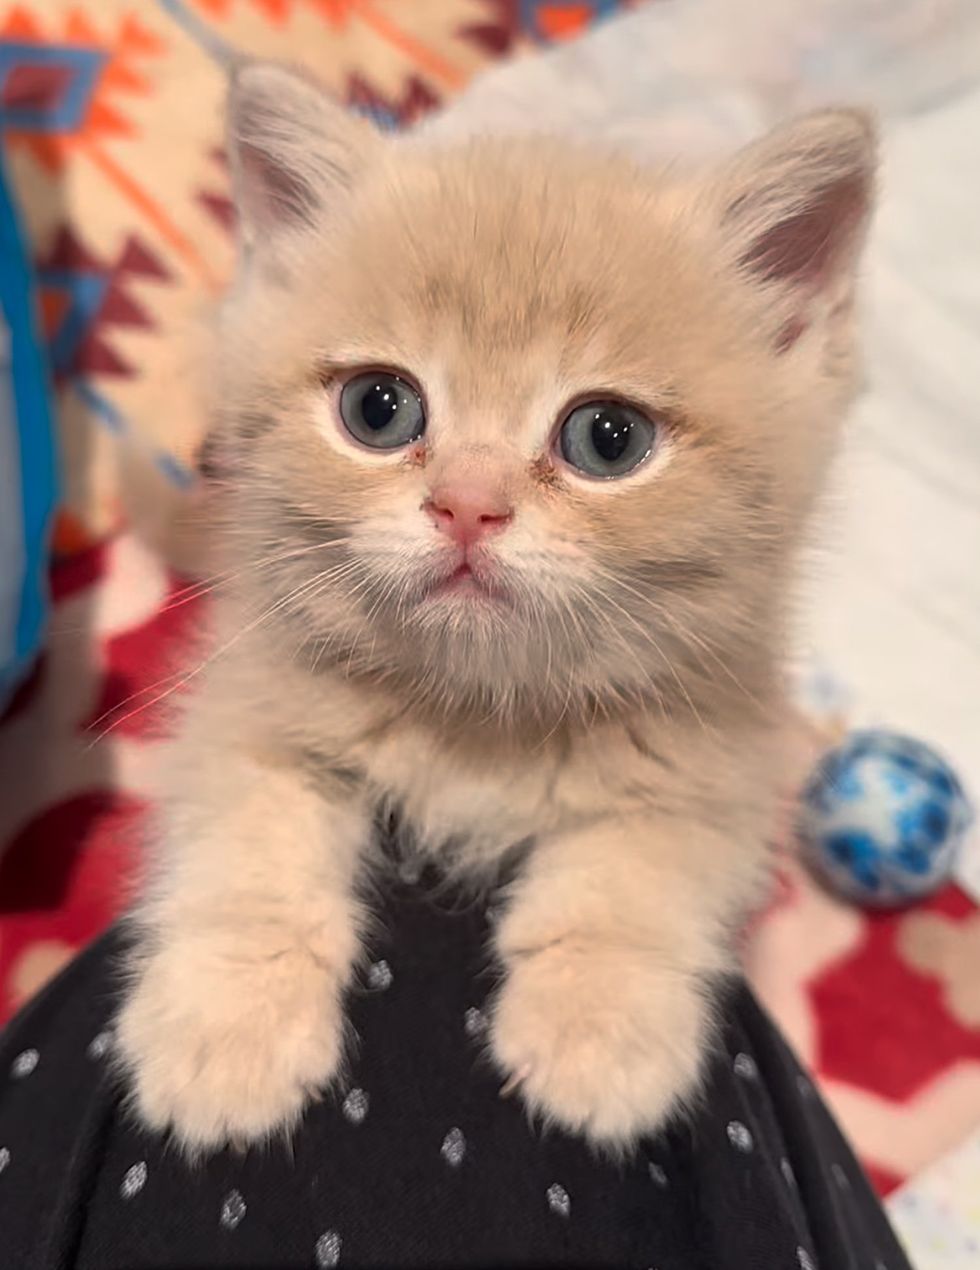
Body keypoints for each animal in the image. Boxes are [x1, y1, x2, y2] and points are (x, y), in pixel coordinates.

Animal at [116, 61, 878, 1153]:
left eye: (607, 437)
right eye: (378, 409)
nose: (467, 505)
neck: (477, 720)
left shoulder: (724, 743)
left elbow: (643, 860)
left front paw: (596, 1023)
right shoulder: (248, 690)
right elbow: (251, 841)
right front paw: (228, 1025)